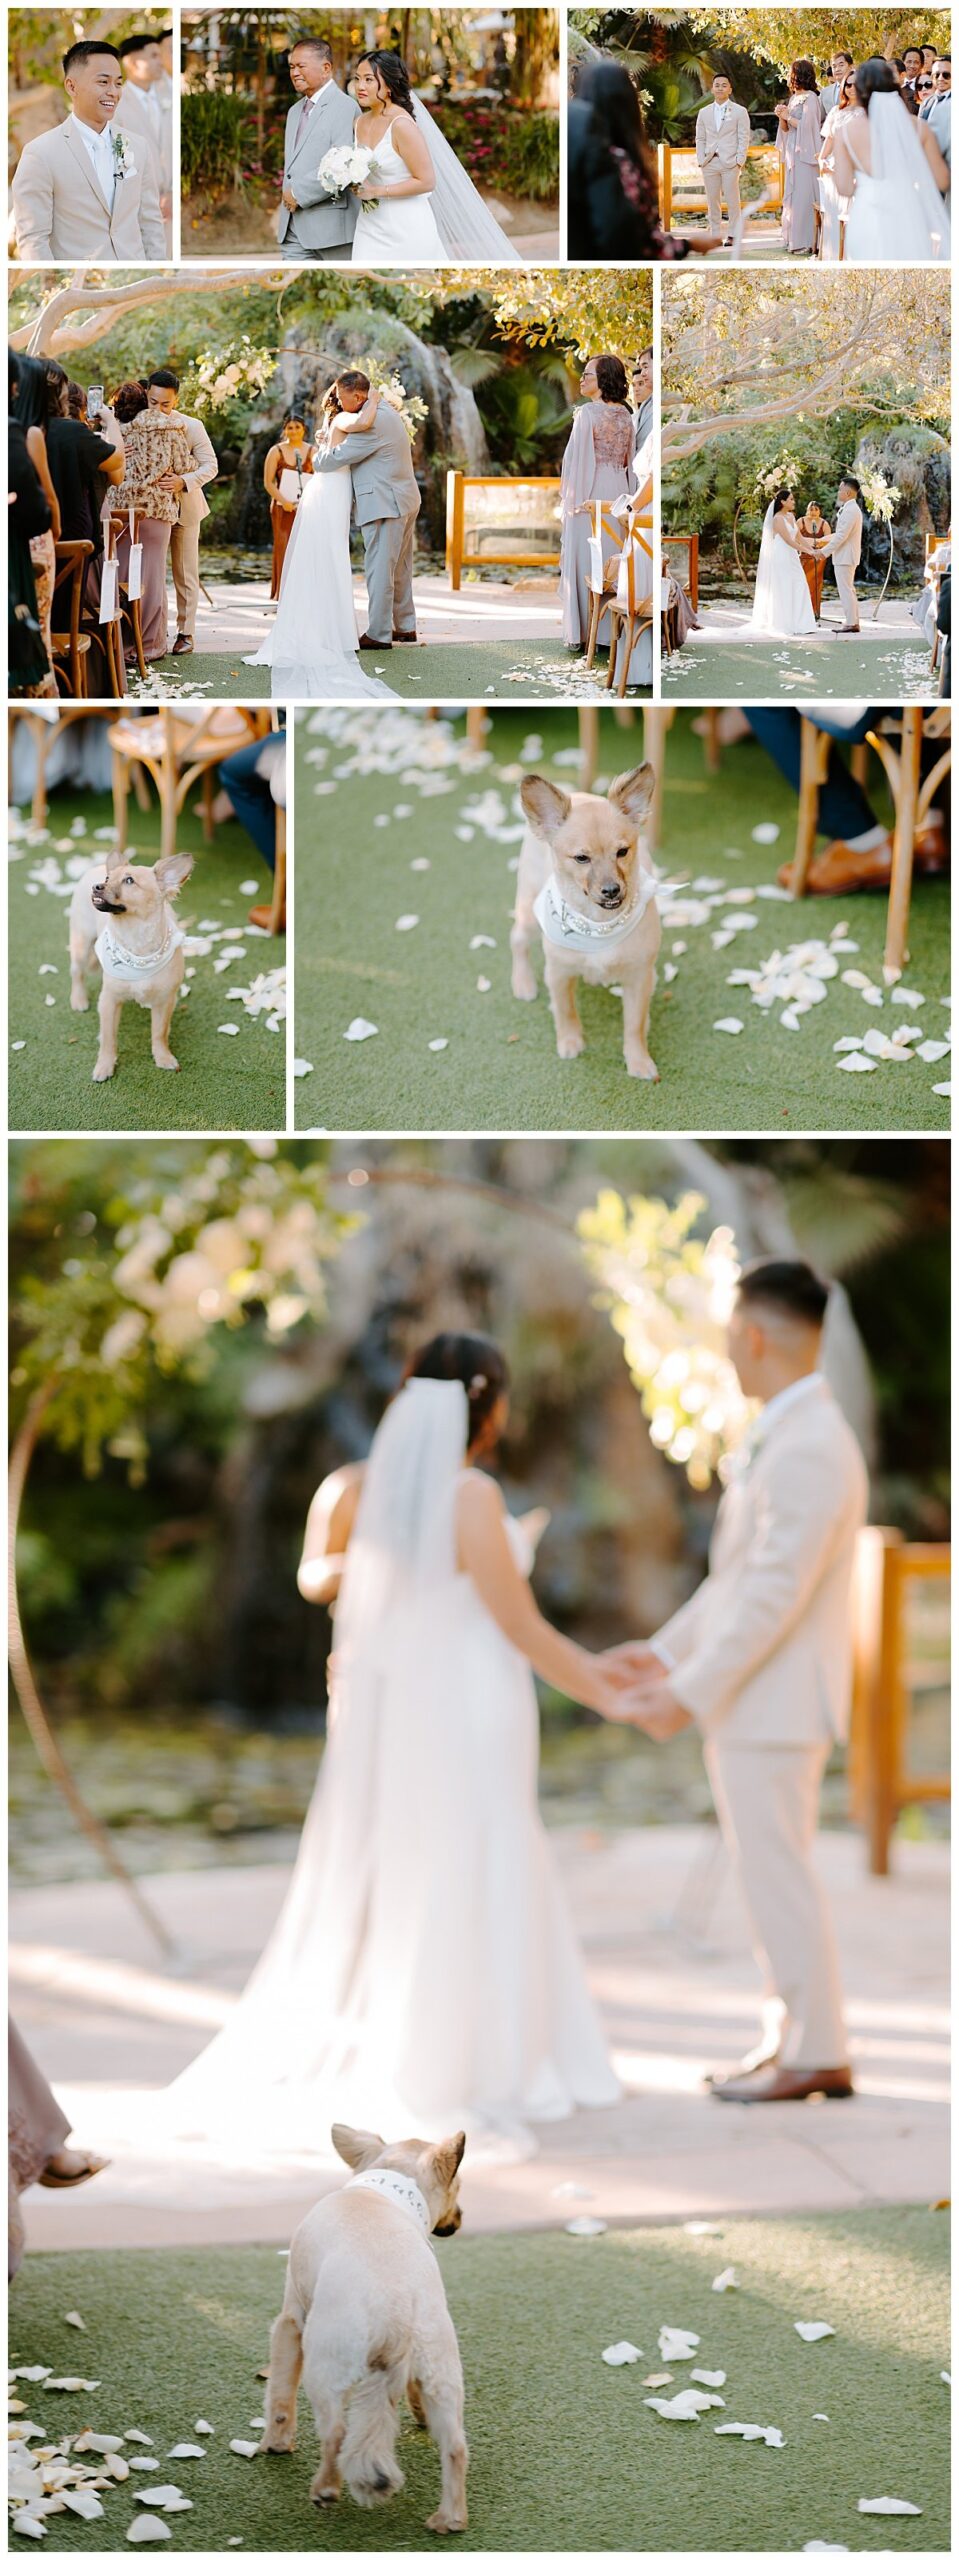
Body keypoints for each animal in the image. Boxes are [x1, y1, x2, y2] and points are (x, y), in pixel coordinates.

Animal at [69, 844, 193, 1075]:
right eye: (108, 878)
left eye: (129, 881)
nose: (97, 886)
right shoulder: (109, 1001)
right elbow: (108, 1038)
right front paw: (105, 1065)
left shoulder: (165, 1001)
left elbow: (159, 1032)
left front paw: (162, 1056)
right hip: (81, 944)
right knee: (77, 972)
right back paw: (78, 999)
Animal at [263, 2129, 473, 2529]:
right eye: (458, 2188)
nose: (461, 2218)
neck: (385, 2189)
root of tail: (397, 2312)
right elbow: (413, 2394)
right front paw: (419, 2416)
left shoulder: (290, 2321)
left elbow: (280, 2395)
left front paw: (276, 2443)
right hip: (441, 2373)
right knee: (455, 2447)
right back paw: (450, 2519)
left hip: (323, 2366)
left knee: (336, 2433)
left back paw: (325, 2489)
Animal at [511, 757, 659, 1080]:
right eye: (581, 858)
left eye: (622, 852)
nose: (611, 890)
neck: (599, 926)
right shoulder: (558, 972)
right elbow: (566, 1010)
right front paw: (570, 1042)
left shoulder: (640, 977)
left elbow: (634, 1024)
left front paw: (638, 1060)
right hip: (529, 915)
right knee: (516, 940)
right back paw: (523, 982)